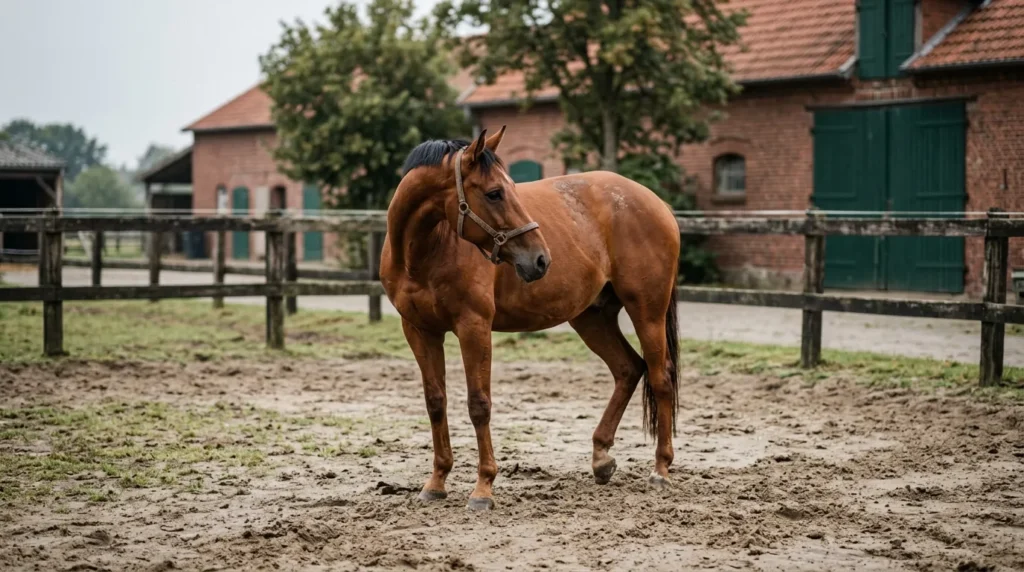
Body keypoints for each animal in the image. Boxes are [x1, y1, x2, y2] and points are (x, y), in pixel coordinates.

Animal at [380, 126, 681, 510]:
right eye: (494, 193)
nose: (540, 259)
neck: (426, 250)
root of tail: (657, 204)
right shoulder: (419, 330)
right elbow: (436, 402)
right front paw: (436, 482)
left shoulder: (474, 326)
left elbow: (479, 404)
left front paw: (483, 488)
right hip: (591, 317)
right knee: (629, 369)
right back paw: (601, 459)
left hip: (647, 310)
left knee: (661, 377)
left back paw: (661, 470)